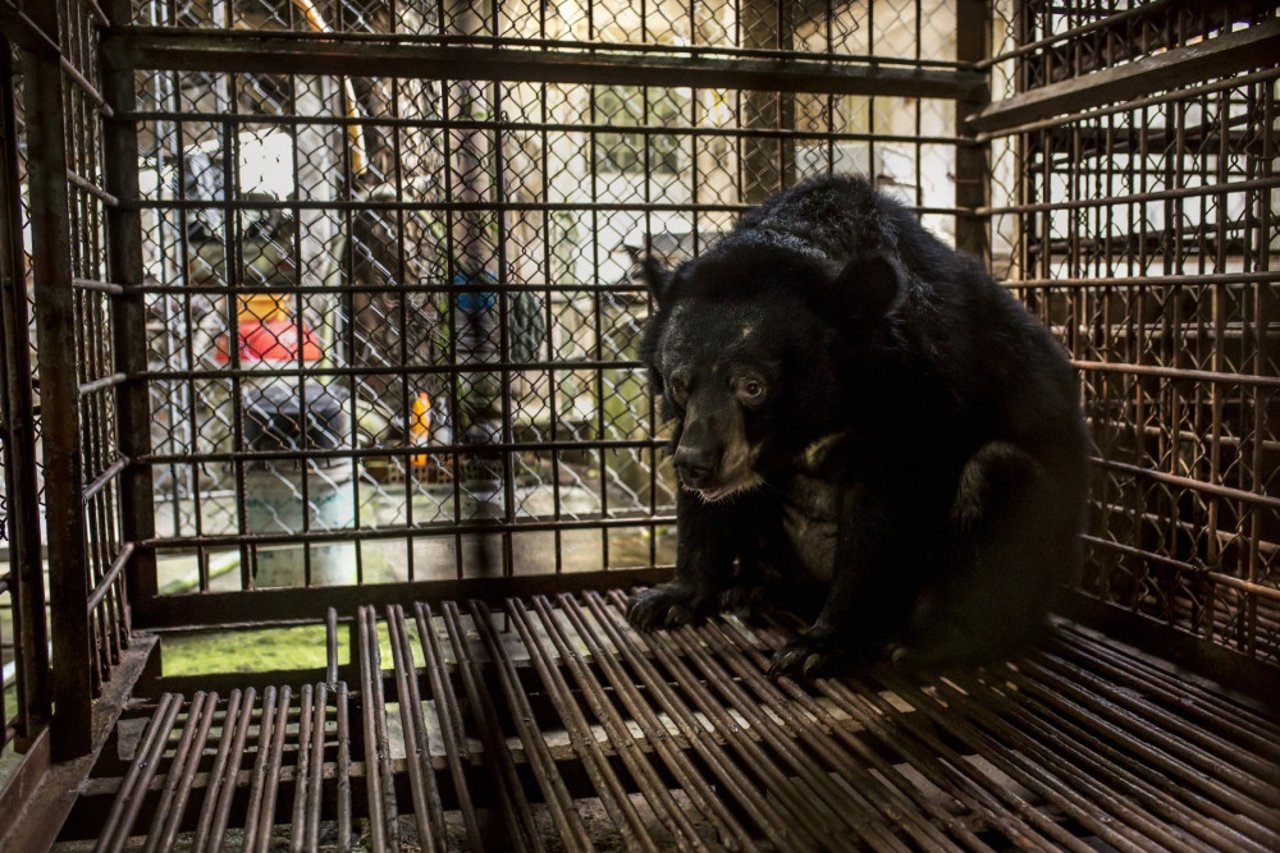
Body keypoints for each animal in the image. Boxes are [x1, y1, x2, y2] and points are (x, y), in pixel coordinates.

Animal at [624, 175, 1085, 676]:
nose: (697, 467)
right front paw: (668, 600)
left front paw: (816, 647)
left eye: (752, 387)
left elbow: (879, 520)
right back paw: (752, 590)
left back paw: (930, 644)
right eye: (679, 383)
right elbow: (705, 510)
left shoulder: (913, 394)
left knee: (996, 471)